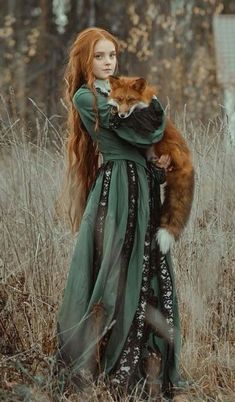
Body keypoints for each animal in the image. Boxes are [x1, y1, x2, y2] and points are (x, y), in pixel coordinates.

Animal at [108, 75, 195, 254]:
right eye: (120, 99)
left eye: (130, 100)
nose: (122, 115)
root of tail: (187, 161)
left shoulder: (147, 116)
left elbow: (137, 118)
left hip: (161, 143)